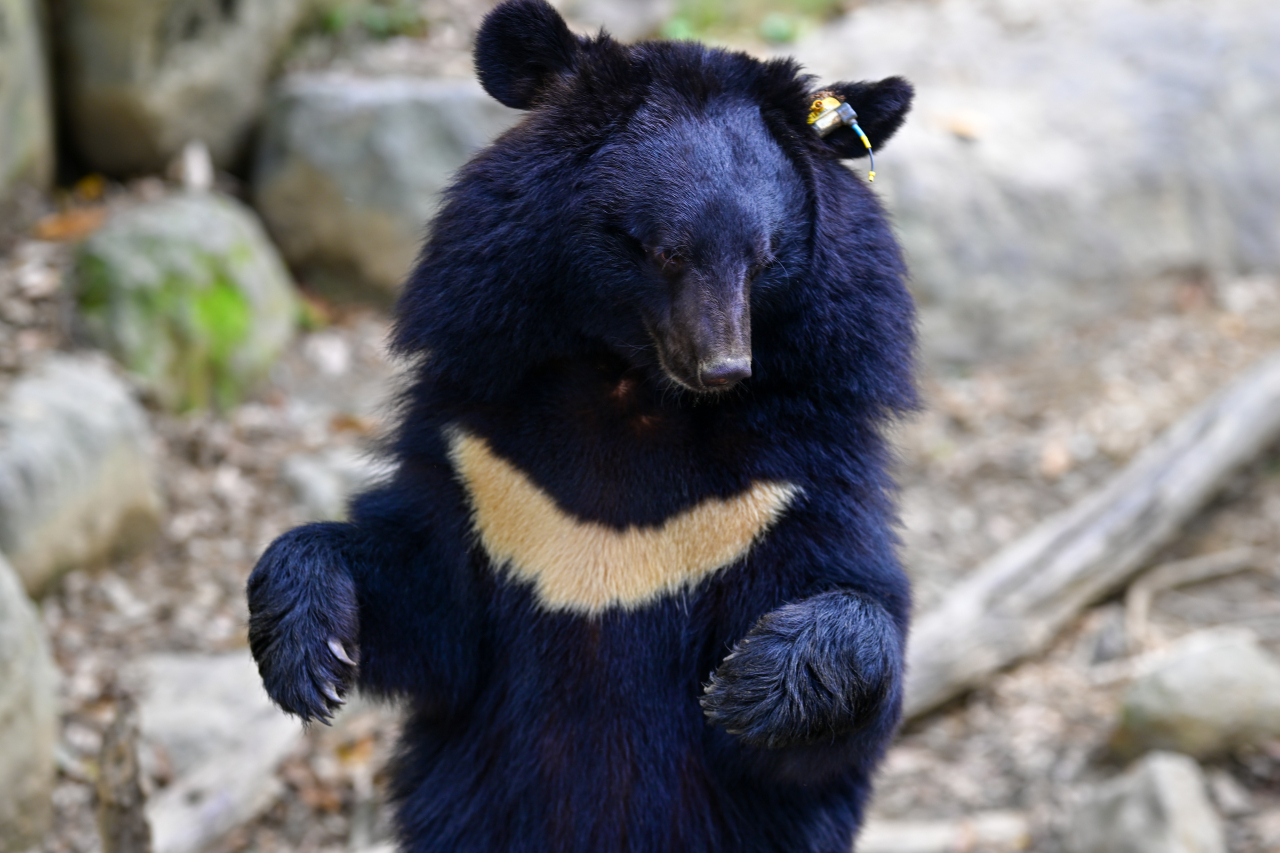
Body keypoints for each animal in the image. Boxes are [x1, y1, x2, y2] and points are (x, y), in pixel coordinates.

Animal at [244, 3, 916, 845]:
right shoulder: (486, 464)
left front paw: (754, 680)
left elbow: (848, 643)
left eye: (765, 258)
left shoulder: (783, 482)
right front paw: (308, 657)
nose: (725, 367)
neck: (635, 391)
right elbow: (429, 602)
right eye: (665, 251)